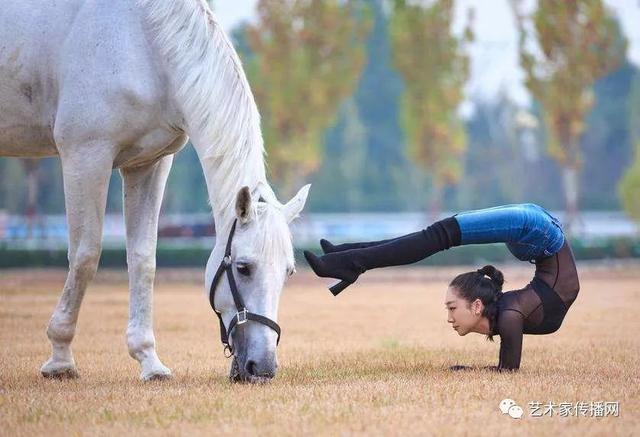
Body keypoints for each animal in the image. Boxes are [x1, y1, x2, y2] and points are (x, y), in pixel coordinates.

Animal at [0, 0, 310, 382]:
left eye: (288, 272)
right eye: (243, 268)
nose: (262, 366)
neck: (143, 42)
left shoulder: (149, 163)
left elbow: (143, 259)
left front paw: (148, 360)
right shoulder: (84, 155)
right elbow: (85, 255)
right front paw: (60, 359)